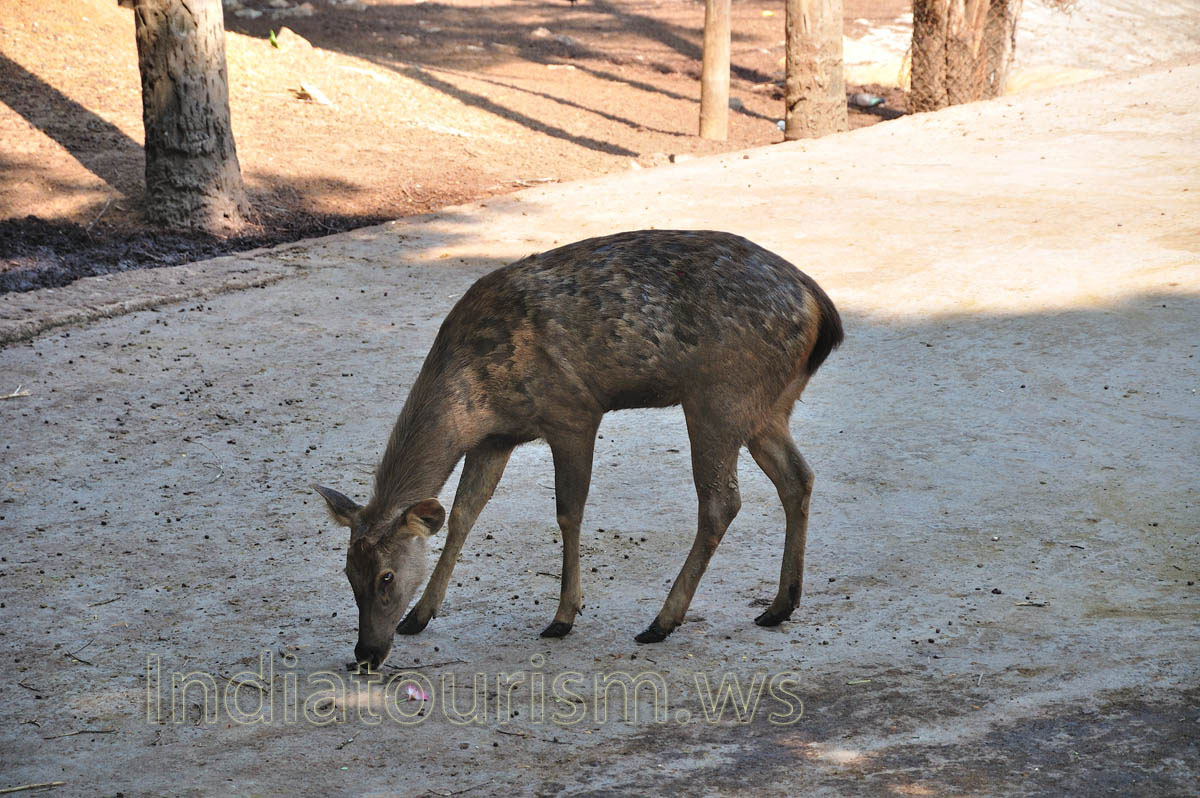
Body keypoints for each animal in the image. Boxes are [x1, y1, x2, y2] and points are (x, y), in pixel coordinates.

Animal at [314, 229, 843, 669]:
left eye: (385, 577)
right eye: (347, 573)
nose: (365, 654)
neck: (475, 397)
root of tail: (824, 312)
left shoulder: (572, 411)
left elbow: (569, 512)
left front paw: (564, 616)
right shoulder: (496, 438)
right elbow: (465, 513)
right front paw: (421, 615)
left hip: (719, 397)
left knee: (722, 502)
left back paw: (661, 622)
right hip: (768, 406)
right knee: (798, 477)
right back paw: (779, 606)